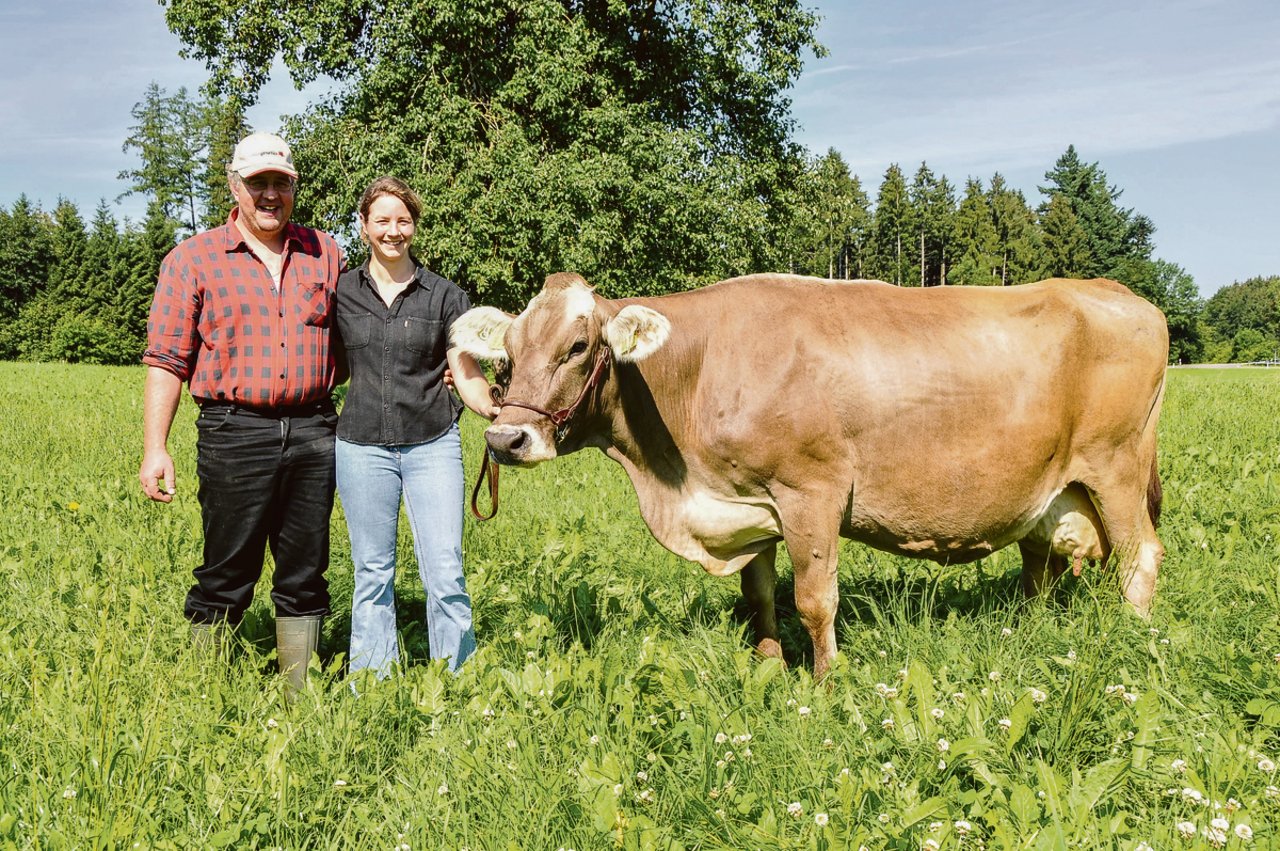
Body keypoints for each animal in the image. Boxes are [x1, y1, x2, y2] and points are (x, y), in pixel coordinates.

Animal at [453, 272, 1172, 675]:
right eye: (507, 351)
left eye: (578, 346)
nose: (505, 437)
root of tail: (1116, 293)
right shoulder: (749, 504)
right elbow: (760, 595)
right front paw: (768, 665)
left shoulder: (812, 493)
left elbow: (814, 599)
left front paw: (825, 683)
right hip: (1050, 488)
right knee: (1039, 564)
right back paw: (1027, 629)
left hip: (1116, 466)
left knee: (1140, 555)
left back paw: (1134, 639)